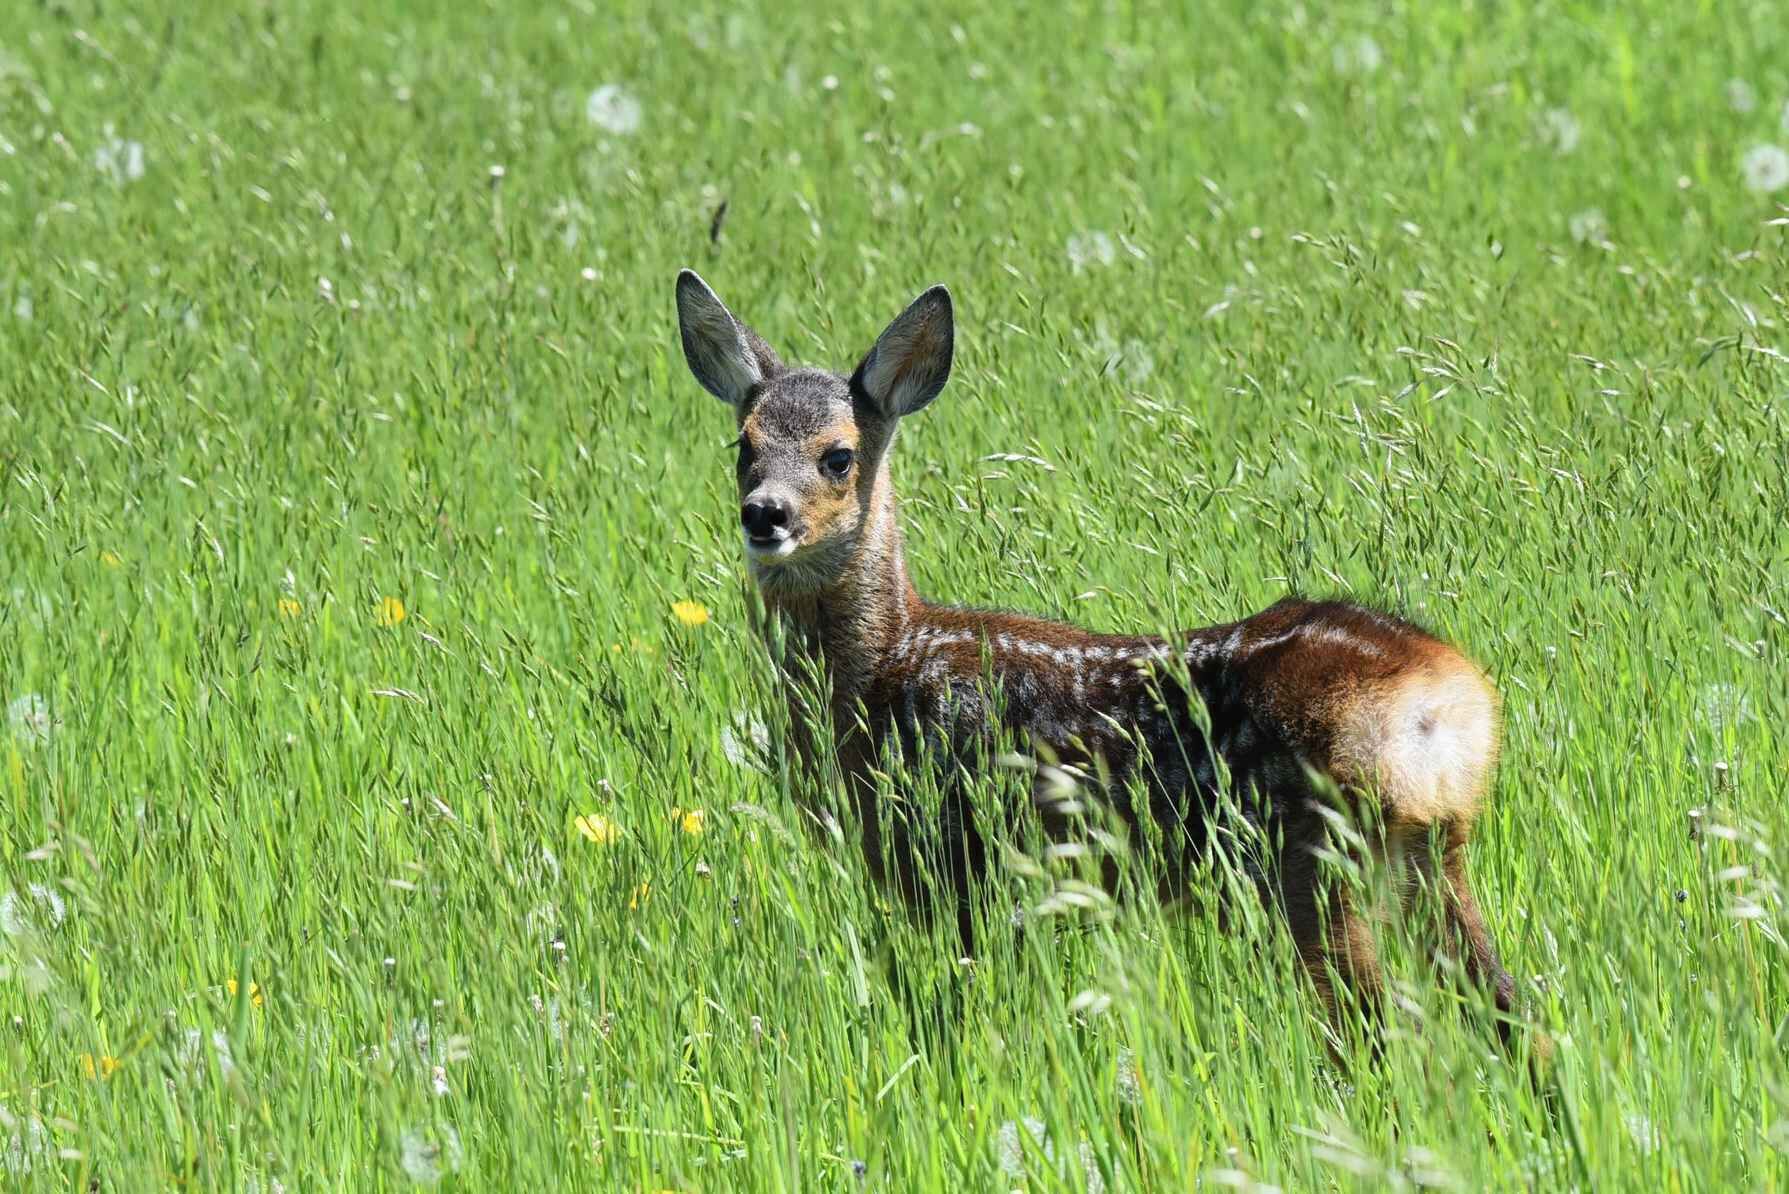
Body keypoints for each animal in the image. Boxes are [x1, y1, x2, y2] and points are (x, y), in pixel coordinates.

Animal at [674, 268, 1537, 1055]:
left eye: (838, 456)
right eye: (743, 446)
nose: (765, 514)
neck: (882, 670)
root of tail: (1445, 701)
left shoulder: (953, 860)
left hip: (1313, 850)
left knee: (1371, 1028)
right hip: (1427, 850)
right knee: (1510, 1009)